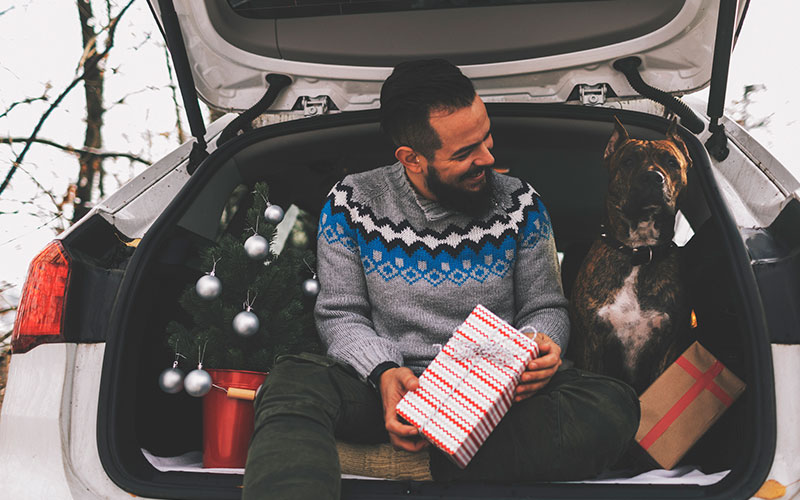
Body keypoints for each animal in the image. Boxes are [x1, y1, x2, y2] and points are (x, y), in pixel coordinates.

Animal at [572, 117, 692, 394]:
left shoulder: (665, 349)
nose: (653, 177)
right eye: (628, 161)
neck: (639, 251)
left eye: (672, 162)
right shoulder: (592, 343)